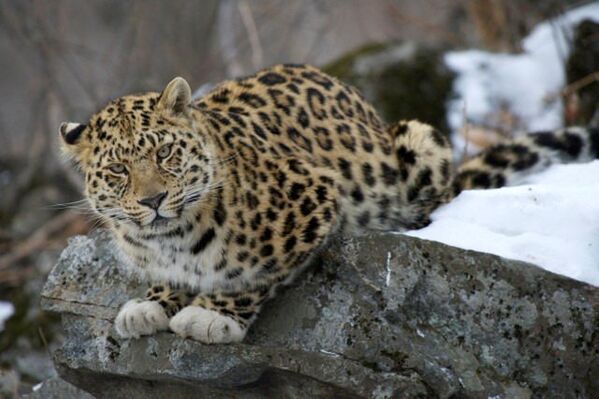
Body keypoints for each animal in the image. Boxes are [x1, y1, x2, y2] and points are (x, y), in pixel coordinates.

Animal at [58, 64, 596, 346]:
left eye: (165, 154)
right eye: (118, 171)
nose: (152, 200)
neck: (170, 239)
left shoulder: (315, 198)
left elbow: (253, 276)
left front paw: (212, 316)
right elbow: (170, 279)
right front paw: (150, 304)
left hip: (419, 143)